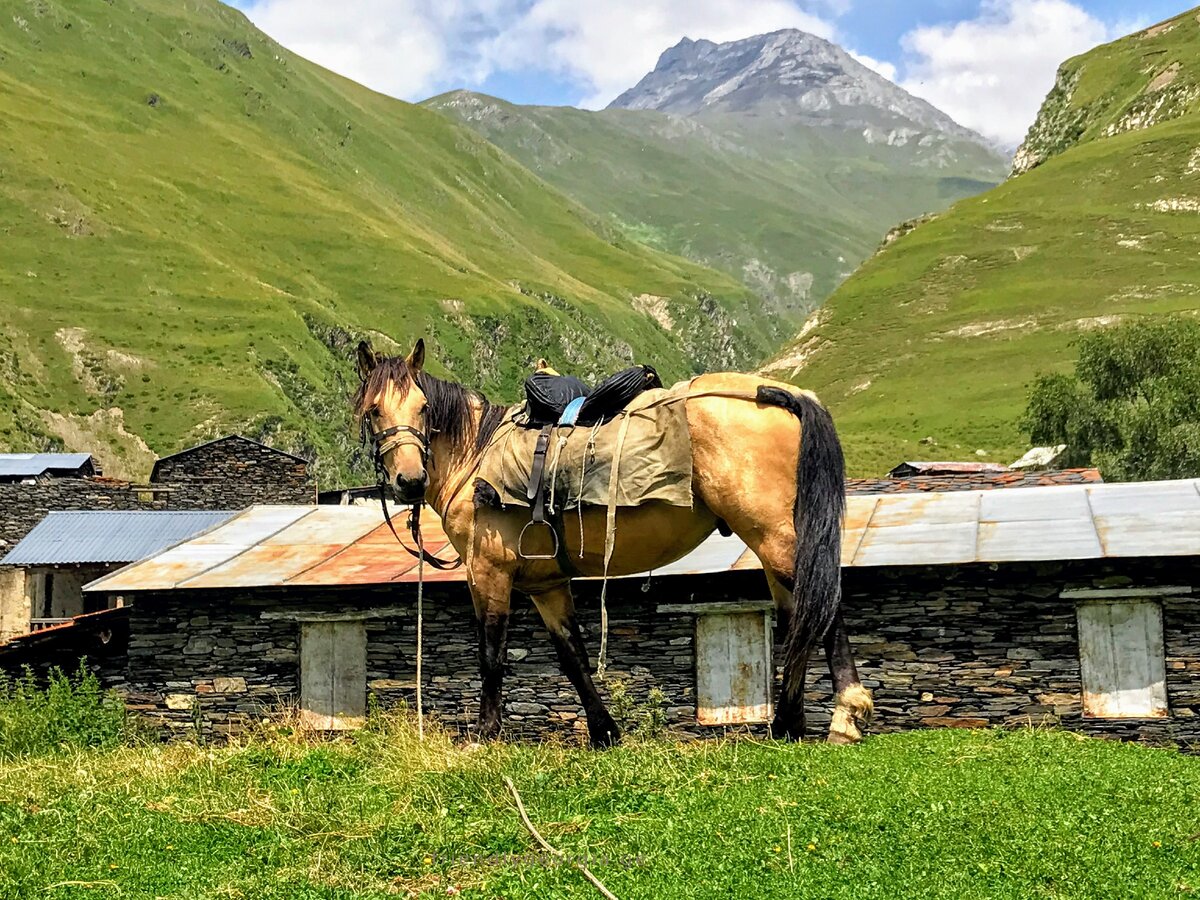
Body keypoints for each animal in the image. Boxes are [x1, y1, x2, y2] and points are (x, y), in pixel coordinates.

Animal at [350, 338, 873, 748]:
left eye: (423, 408)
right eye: (373, 411)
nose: (410, 481)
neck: (476, 458)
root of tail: (783, 393)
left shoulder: (488, 575)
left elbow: (491, 653)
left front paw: (485, 733)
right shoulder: (546, 586)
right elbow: (573, 655)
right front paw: (604, 732)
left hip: (774, 537)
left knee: (822, 606)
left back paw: (843, 716)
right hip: (773, 542)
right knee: (798, 615)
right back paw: (788, 725)